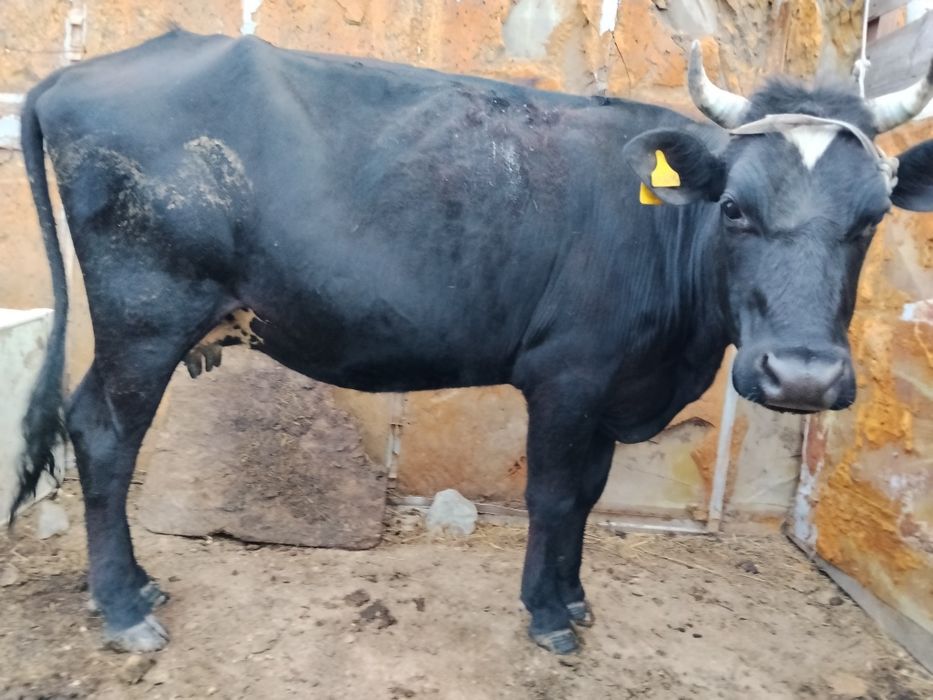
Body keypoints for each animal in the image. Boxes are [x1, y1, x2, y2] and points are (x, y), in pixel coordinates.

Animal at [15, 29, 933, 655]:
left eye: (870, 218)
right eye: (735, 207)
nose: (802, 377)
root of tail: (78, 72)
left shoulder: (606, 387)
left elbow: (589, 496)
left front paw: (572, 598)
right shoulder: (565, 377)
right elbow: (555, 497)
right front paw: (547, 617)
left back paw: (134, 590)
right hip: (145, 315)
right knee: (104, 434)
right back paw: (125, 606)